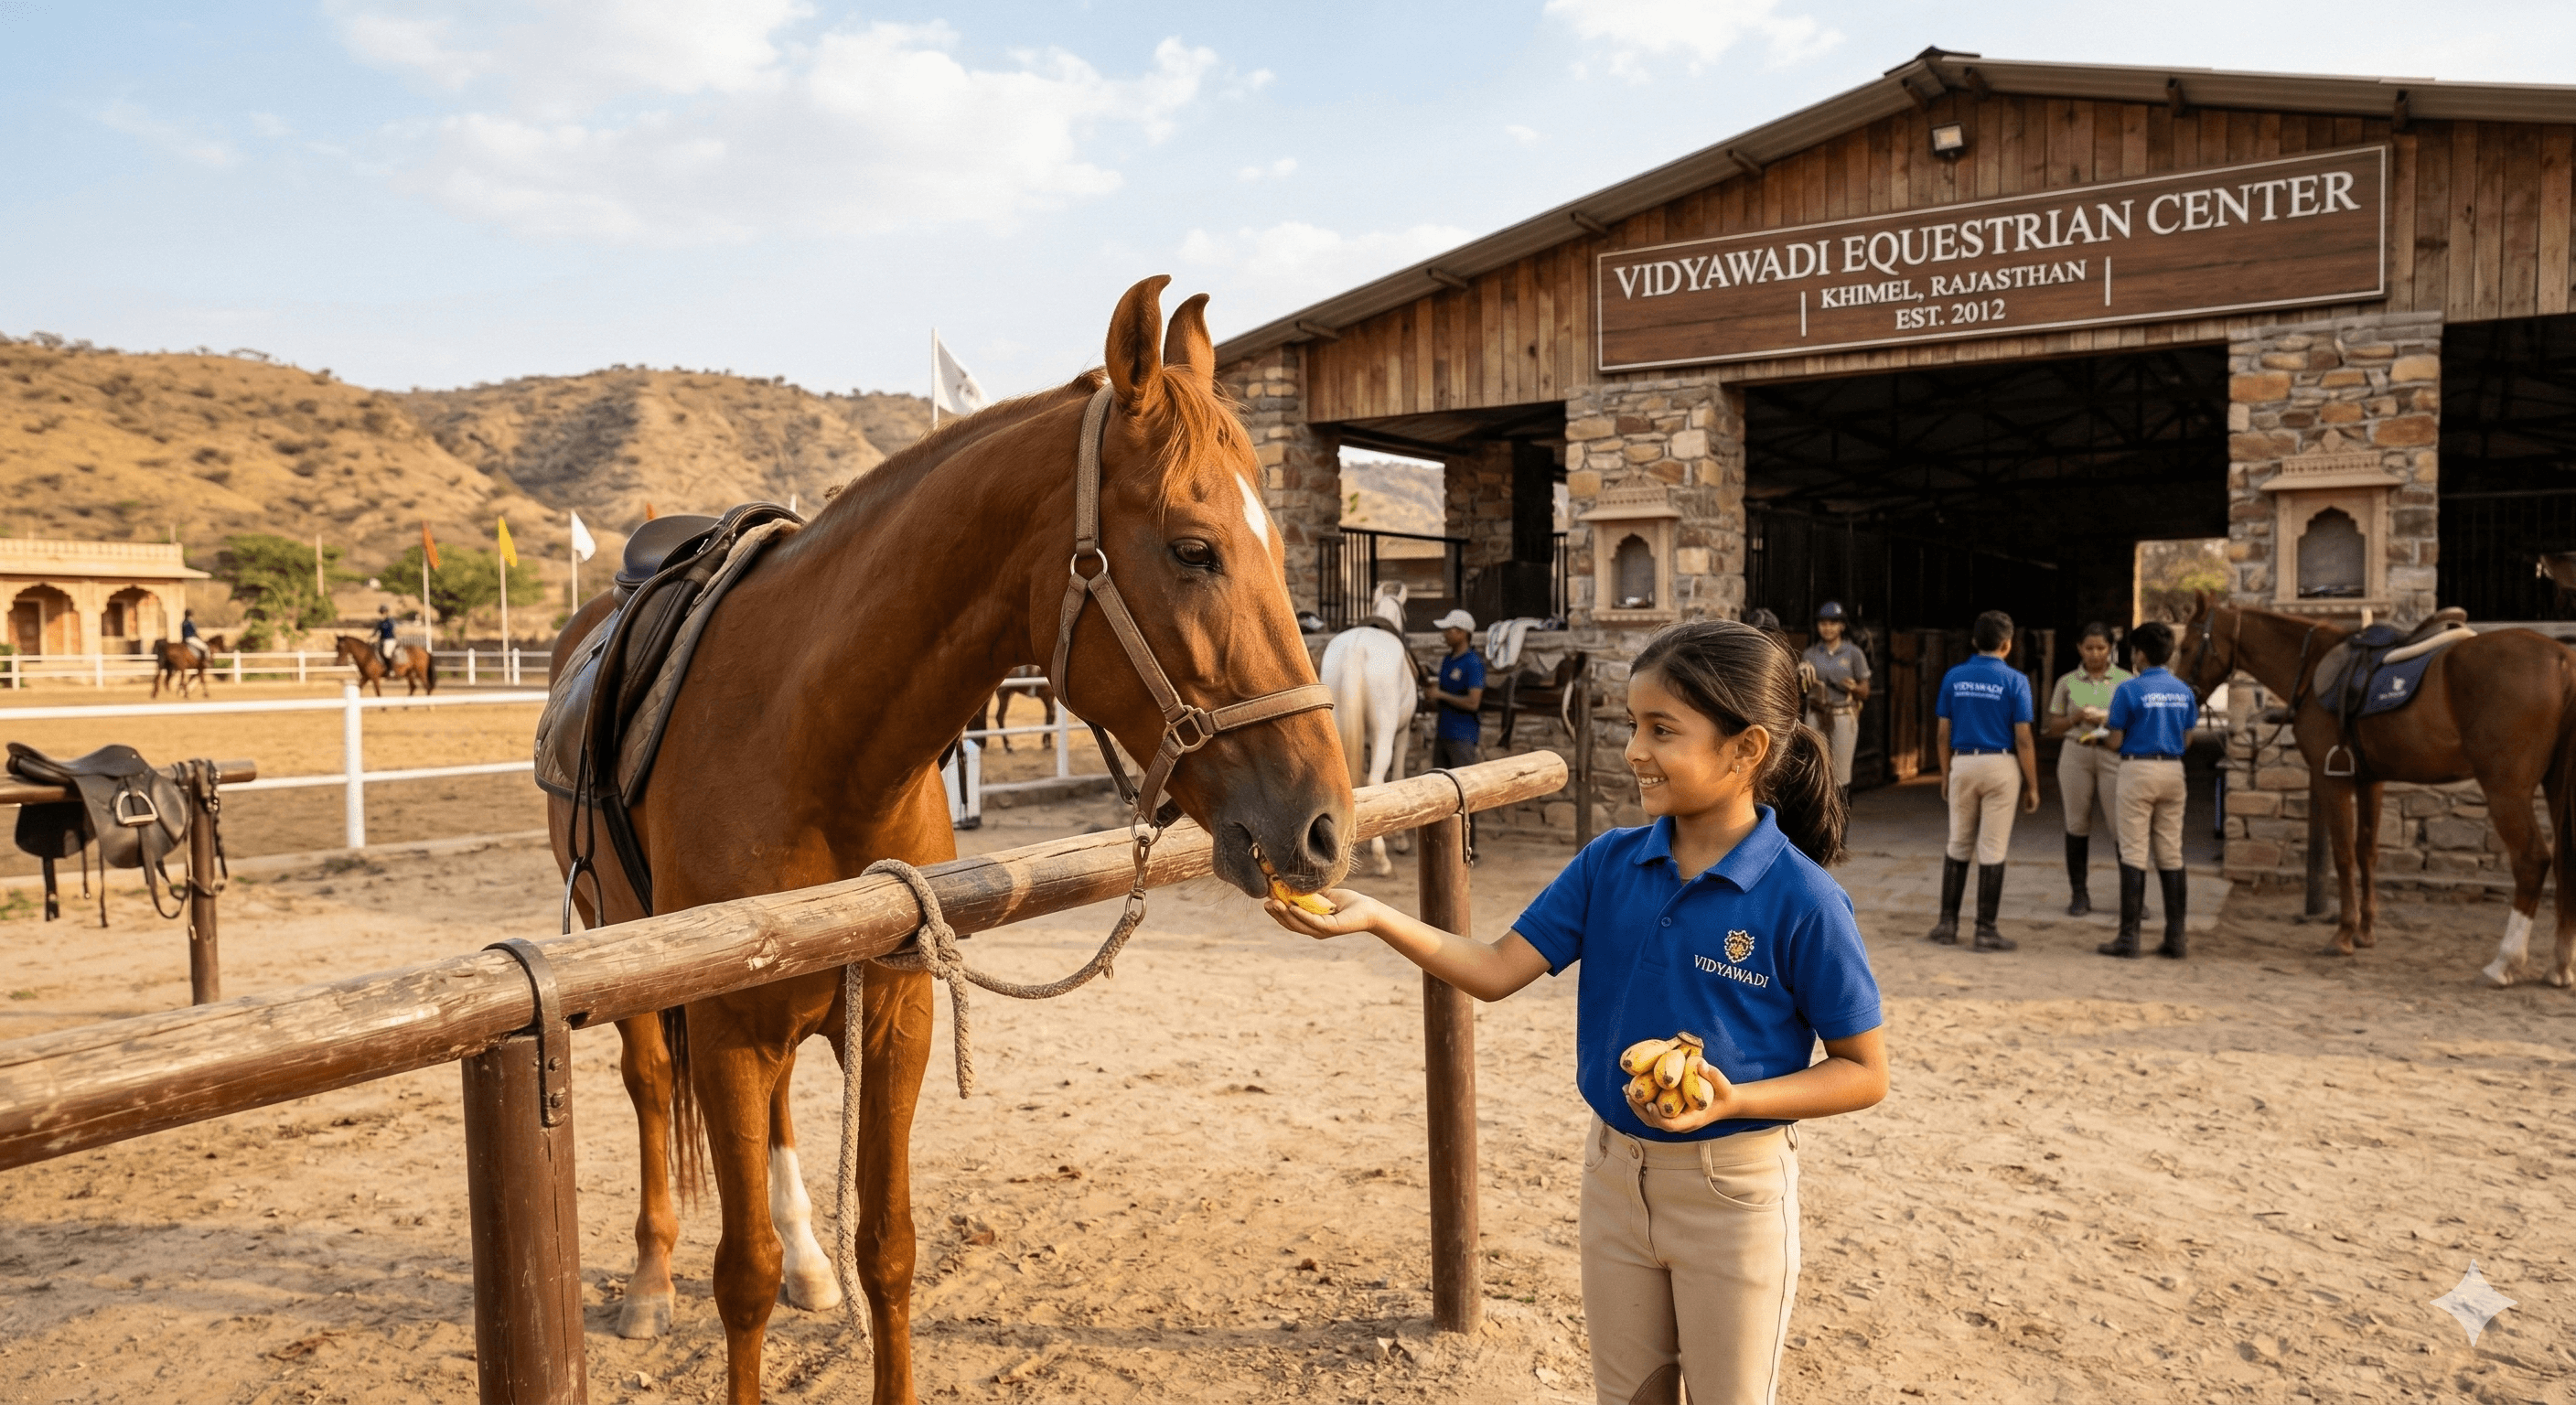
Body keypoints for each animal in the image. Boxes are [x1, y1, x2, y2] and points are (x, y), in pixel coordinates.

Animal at [547, 277, 1354, 1405]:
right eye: (1193, 548)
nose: (1324, 825)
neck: (808, 738)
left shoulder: (894, 1014)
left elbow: (888, 1249)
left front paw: (828, 1264)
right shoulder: (726, 1022)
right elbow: (739, 1277)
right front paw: (715, 1279)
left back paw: (810, 1261)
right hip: (626, 953)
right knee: (651, 1084)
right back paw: (650, 1282)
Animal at [1320, 584, 1419, 875]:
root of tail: (1356, 648)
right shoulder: (1402, 733)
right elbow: (1397, 776)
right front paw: (1399, 838)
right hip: (1385, 731)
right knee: (1376, 779)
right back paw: (1381, 859)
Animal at [2178, 596, 2576, 985]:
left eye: (2185, 646)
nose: (2184, 698)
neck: (2310, 669)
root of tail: (2561, 659)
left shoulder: (2332, 779)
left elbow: (2342, 855)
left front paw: (2342, 935)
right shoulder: (2371, 781)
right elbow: (2366, 852)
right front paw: (2366, 933)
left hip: (2506, 791)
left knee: (2532, 861)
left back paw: (2504, 962)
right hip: (2554, 787)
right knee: (2562, 861)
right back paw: (2559, 966)